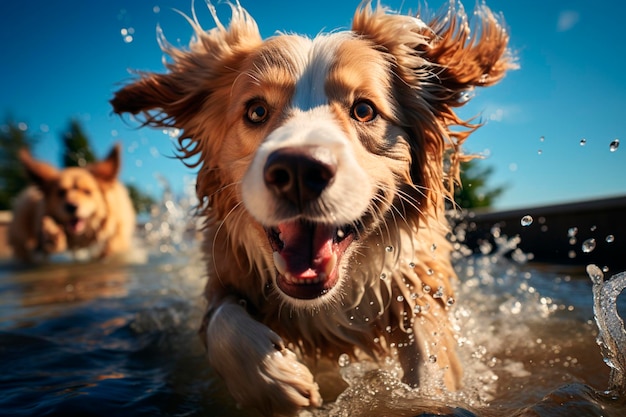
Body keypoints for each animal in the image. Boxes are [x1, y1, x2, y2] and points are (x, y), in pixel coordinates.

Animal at [112, 2, 512, 412]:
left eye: (364, 110)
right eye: (256, 112)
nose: (299, 172)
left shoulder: (417, 278)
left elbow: (430, 358)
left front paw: (419, 399)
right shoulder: (222, 271)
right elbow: (222, 319)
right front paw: (272, 378)